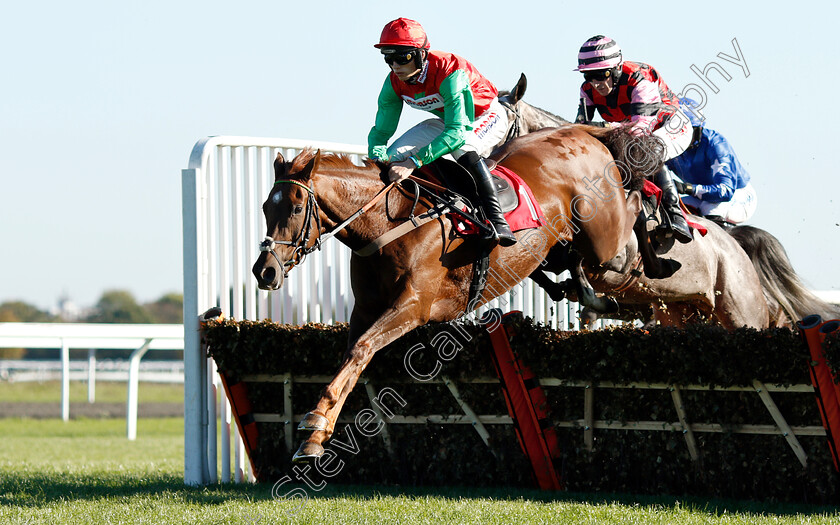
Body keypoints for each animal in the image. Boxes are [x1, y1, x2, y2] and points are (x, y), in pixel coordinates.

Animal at [253, 126, 648, 458]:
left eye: (297, 207)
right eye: (265, 207)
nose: (264, 271)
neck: (388, 223)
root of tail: (582, 132)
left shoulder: (414, 306)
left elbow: (363, 348)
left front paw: (315, 421)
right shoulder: (365, 309)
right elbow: (353, 357)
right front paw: (315, 436)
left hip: (602, 233)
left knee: (626, 217)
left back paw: (652, 210)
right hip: (561, 242)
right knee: (571, 259)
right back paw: (588, 293)